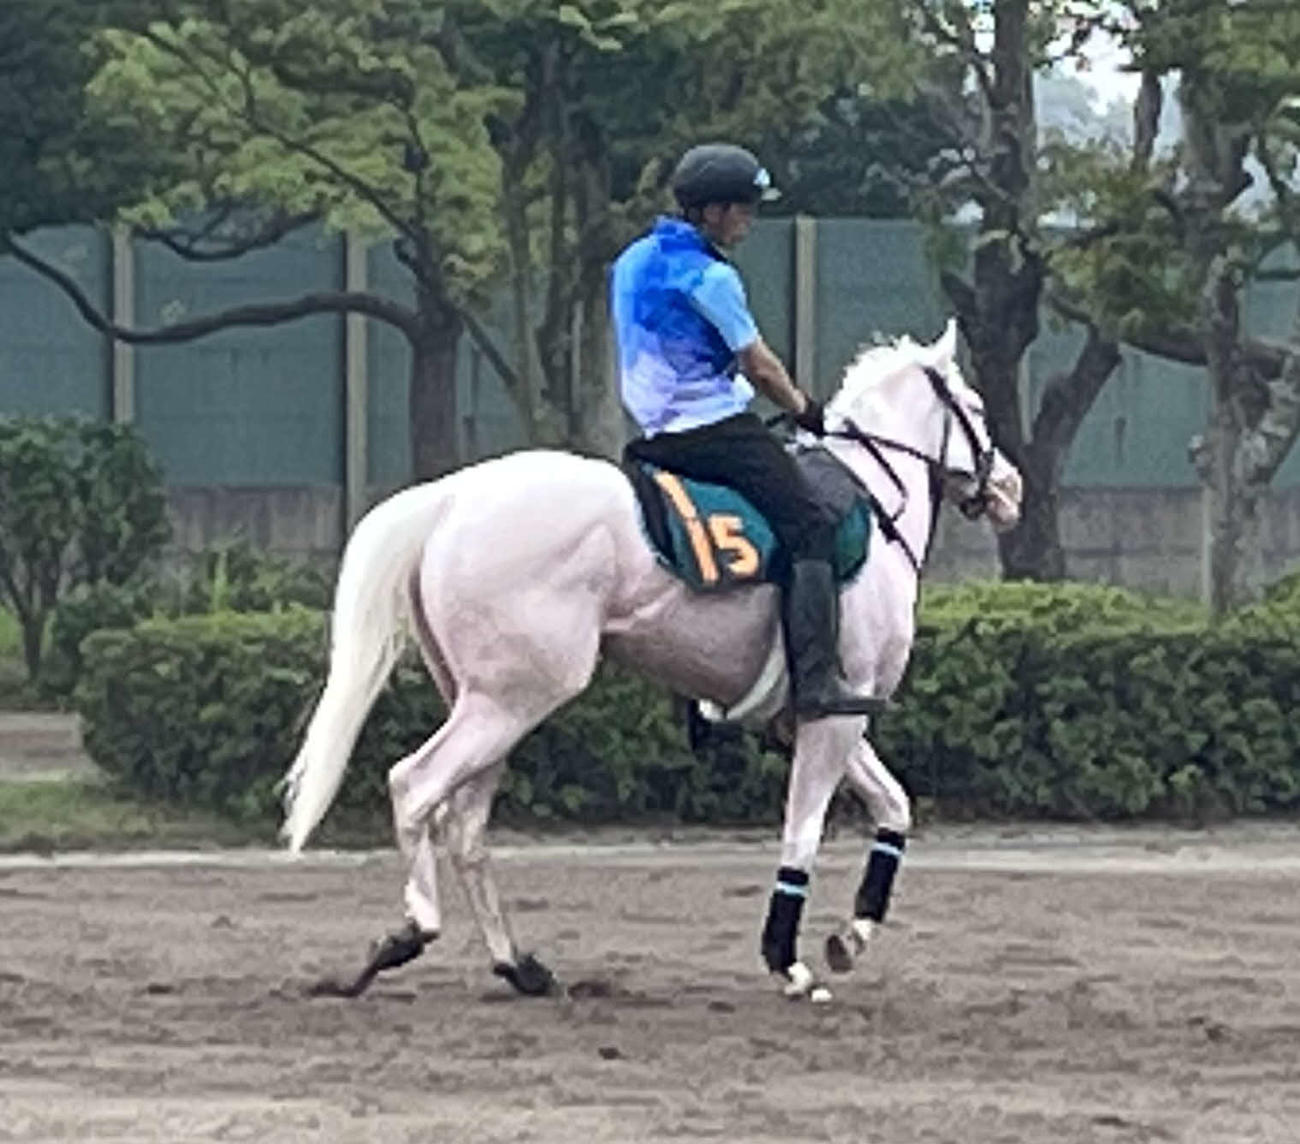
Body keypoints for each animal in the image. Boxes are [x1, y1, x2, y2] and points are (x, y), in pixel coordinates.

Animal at [281, 318, 1023, 1002]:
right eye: (976, 407)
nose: (1011, 488)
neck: (873, 501)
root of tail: (450, 499)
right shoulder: (832, 715)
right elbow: (804, 831)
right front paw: (789, 961)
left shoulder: (810, 715)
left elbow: (894, 804)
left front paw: (852, 935)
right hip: (510, 701)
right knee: (415, 785)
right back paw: (411, 932)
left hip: (489, 703)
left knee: (463, 823)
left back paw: (518, 965)